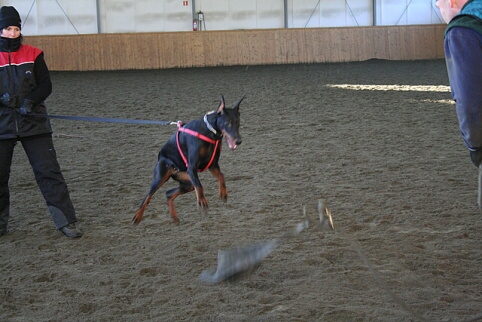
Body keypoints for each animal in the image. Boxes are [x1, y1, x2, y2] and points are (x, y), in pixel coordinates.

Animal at [132, 97, 243, 225]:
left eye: (238, 122)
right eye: (227, 122)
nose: (239, 141)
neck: (208, 131)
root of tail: (160, 155)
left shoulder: (213, 165)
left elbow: (221, 176)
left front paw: (223, 193)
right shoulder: (192, 168)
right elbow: (199, 186)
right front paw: (202, 201)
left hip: (187, 181)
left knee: (169, 193)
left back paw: (174, 216)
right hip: (161, 175)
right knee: (148, 197)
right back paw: (137, 216)